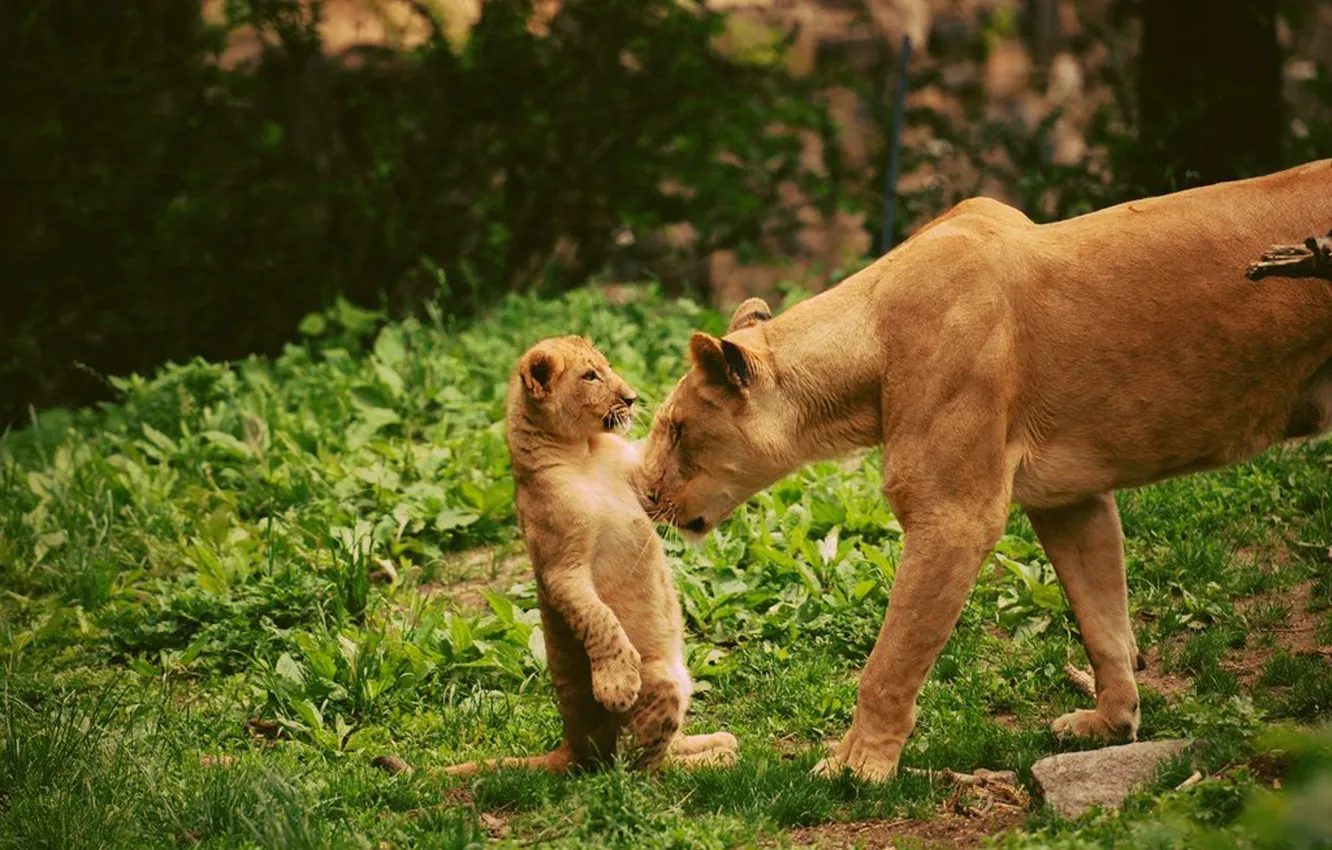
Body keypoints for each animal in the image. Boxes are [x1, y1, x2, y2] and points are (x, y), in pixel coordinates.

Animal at [444, 336, 737, 776]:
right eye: (590, 376)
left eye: (607, 366)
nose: (632, 398)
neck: (584, 452)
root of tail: (574, 742)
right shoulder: (560, 567)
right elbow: (596, 618)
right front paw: (616, 683)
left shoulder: (644, 487)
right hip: (660, 682)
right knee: (638, 768)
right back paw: (713, 759)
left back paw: (713, 742)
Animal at [636, 159, 1332, 782]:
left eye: (676, 429)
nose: (642, 493)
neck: (870, 341)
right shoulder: (1069, 497)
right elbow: (1103, 619)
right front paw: (1111, 725)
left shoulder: (953, 514)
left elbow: (890, 663)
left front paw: (854, 769)